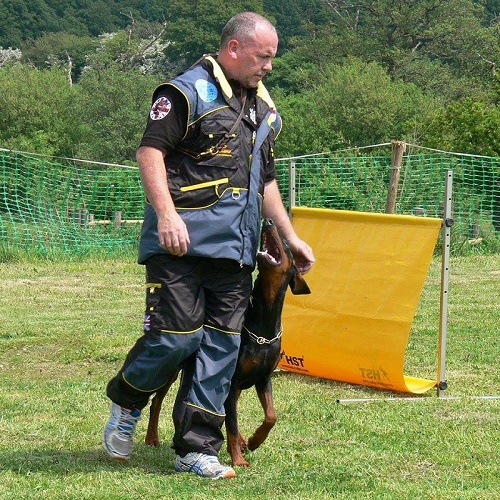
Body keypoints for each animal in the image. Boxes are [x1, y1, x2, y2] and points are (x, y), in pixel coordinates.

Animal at [143, 221, 310, 466]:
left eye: (287, 245)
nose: (269, 221)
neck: (263, 327)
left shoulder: (263, 377)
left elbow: (271, 416)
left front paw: (255, 440)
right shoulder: (230, 383)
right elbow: (230, 424)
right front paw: (238, 460)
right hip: (173, 366)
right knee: (157, 400)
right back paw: (151, 438)